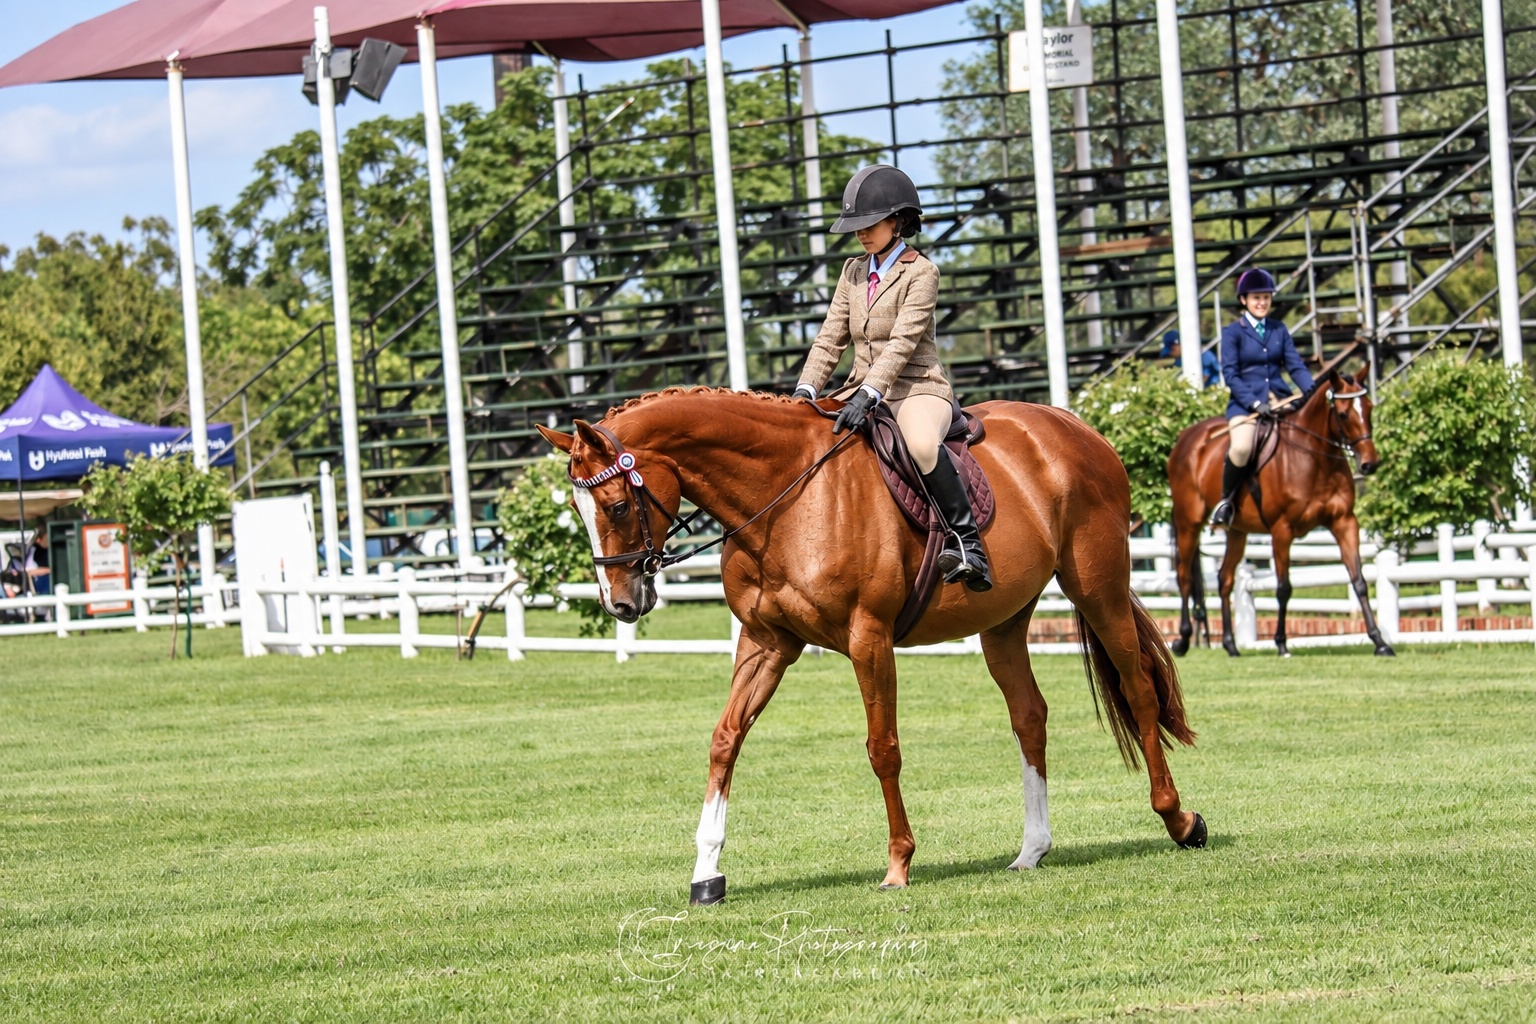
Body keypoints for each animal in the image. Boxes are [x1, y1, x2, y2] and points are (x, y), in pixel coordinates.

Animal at [536, 387, 1205, 903]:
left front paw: (898, 864)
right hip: (1005, 621)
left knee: (1139, 691)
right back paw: (1031, 850)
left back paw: (1180, 819)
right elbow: (725, 741)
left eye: (616, 506)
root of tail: (1075, 428)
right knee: (1029, 716)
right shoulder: (766, 643)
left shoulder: (869, 639)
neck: (786, 496)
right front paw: (706, 873)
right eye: (576, 507)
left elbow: (883, 749)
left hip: (1098, 588)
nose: (621, 604)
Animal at [1166, 369, 1395, 658]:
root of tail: (1187, 437)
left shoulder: (1344, 522)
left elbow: (1359, 581)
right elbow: (1284, 588)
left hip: (1238, 531)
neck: (1317, 460)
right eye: (1343, 414)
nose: (1369, 464)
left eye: (1369, 408)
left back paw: (1230, 645)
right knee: (1184, 577)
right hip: (1188, 522)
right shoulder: (1281, 530)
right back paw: (1182, 641)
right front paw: (1282, 643)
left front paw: (1380, 642)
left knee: (1224, 579)